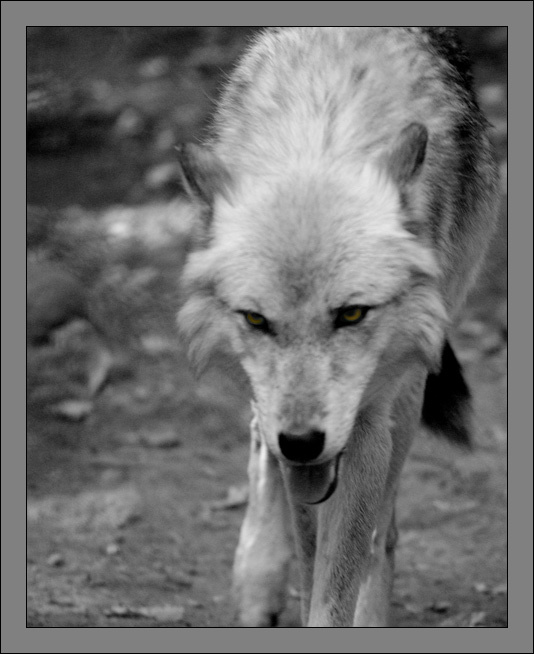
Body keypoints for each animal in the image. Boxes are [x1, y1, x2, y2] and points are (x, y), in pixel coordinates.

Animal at [176, 27, 499, 627]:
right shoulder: (294, 439)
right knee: (259, 442)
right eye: (256, 318)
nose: (303, 442)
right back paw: (256, 579)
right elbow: (310, 565)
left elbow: (342, 576)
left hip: (408, 393)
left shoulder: (369, 423)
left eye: (351, 314)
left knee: (383, 533)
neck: (318, 140)